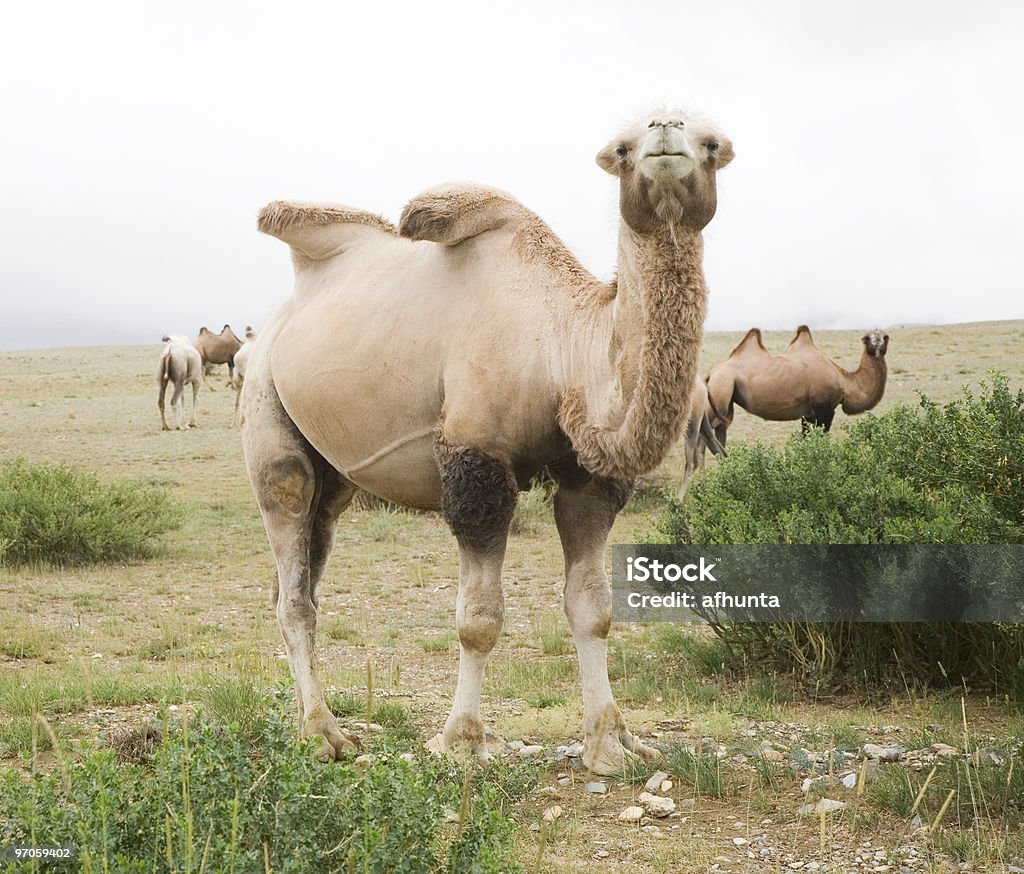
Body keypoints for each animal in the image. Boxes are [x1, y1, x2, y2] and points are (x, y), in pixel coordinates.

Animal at [242, 107, 733, 773]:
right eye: (622, 149)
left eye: (712, 144)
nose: (665, 131)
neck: (560, 344)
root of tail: (266, 329)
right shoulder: (476, 459)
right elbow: (479, 618)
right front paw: (463, 740)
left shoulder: (589, 478)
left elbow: (593, 609)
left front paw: (611, 743)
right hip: (267, 416)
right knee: (292, 562)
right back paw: (324, 734)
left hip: (334, 475)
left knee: (300, 574)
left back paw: (309, 721)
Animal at [704, 323, 888, 442]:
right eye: (867, 338)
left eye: (885, 337)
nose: (877, 345)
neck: (844, 381)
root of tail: (711, 373)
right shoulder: (825, 409)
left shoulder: (808, 413)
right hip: (721, 388)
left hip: (726, 401)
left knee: (720, 430)